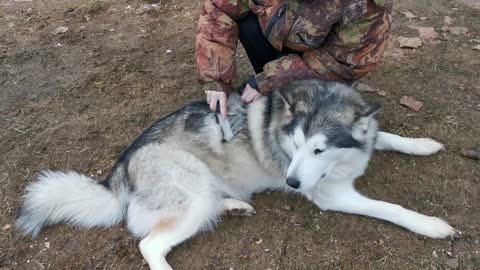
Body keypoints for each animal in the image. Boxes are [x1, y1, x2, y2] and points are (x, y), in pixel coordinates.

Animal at [15, 79, 458, 268]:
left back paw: (233, 206)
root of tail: (120, 166)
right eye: (295, 145)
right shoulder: (332, 196)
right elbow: (390, 208)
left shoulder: (363, 141)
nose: (292, 183)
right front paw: (432, 225)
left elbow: (388, 137)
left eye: (317, 149)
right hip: (191, 191)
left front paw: (423, 144)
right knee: (149, 244)